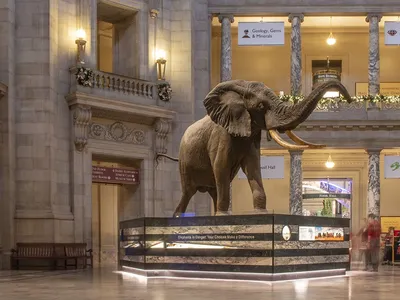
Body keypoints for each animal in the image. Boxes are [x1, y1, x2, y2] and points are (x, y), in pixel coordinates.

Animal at [158, 79, 352, 216]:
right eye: (260, 106)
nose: (349, 100)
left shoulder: (252, 137)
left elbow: (253, 167)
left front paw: (260, 212)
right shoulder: (221, 135)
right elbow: (221, 166)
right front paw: (224, 216)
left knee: (213, 190)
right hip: (184, 164)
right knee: (188, 192)